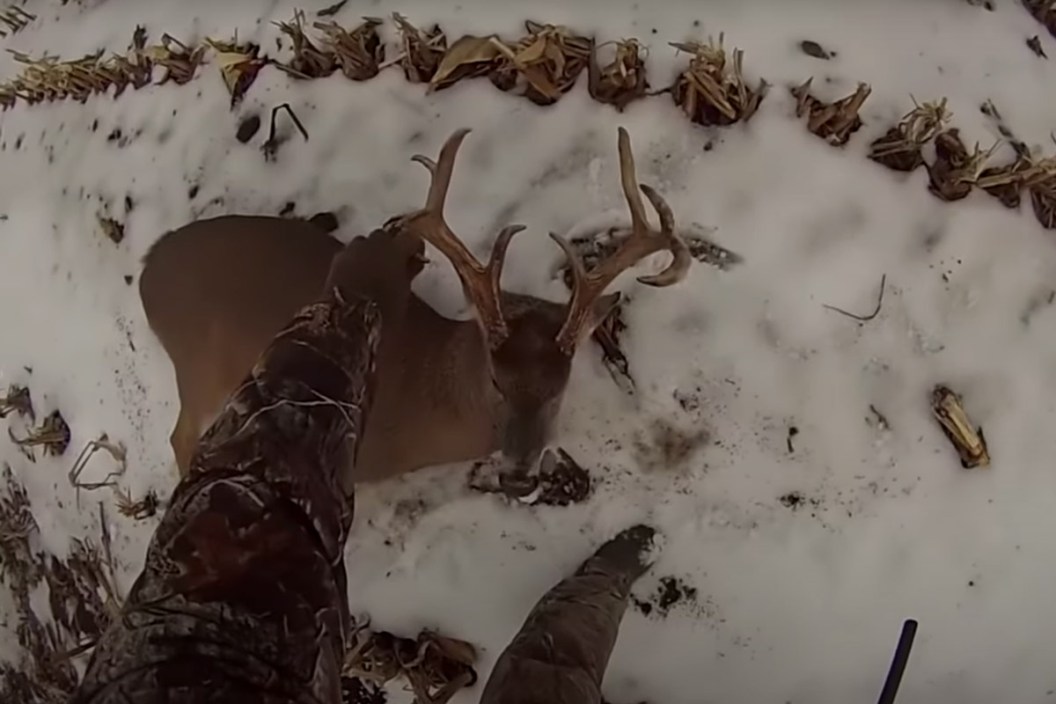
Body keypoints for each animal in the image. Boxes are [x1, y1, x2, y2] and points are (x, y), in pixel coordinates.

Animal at [138, 126, 690, 489]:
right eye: (497, 381)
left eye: (559, 389)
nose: (517, 478)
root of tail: (146, 267)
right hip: (197, 368)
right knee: (179, 436)